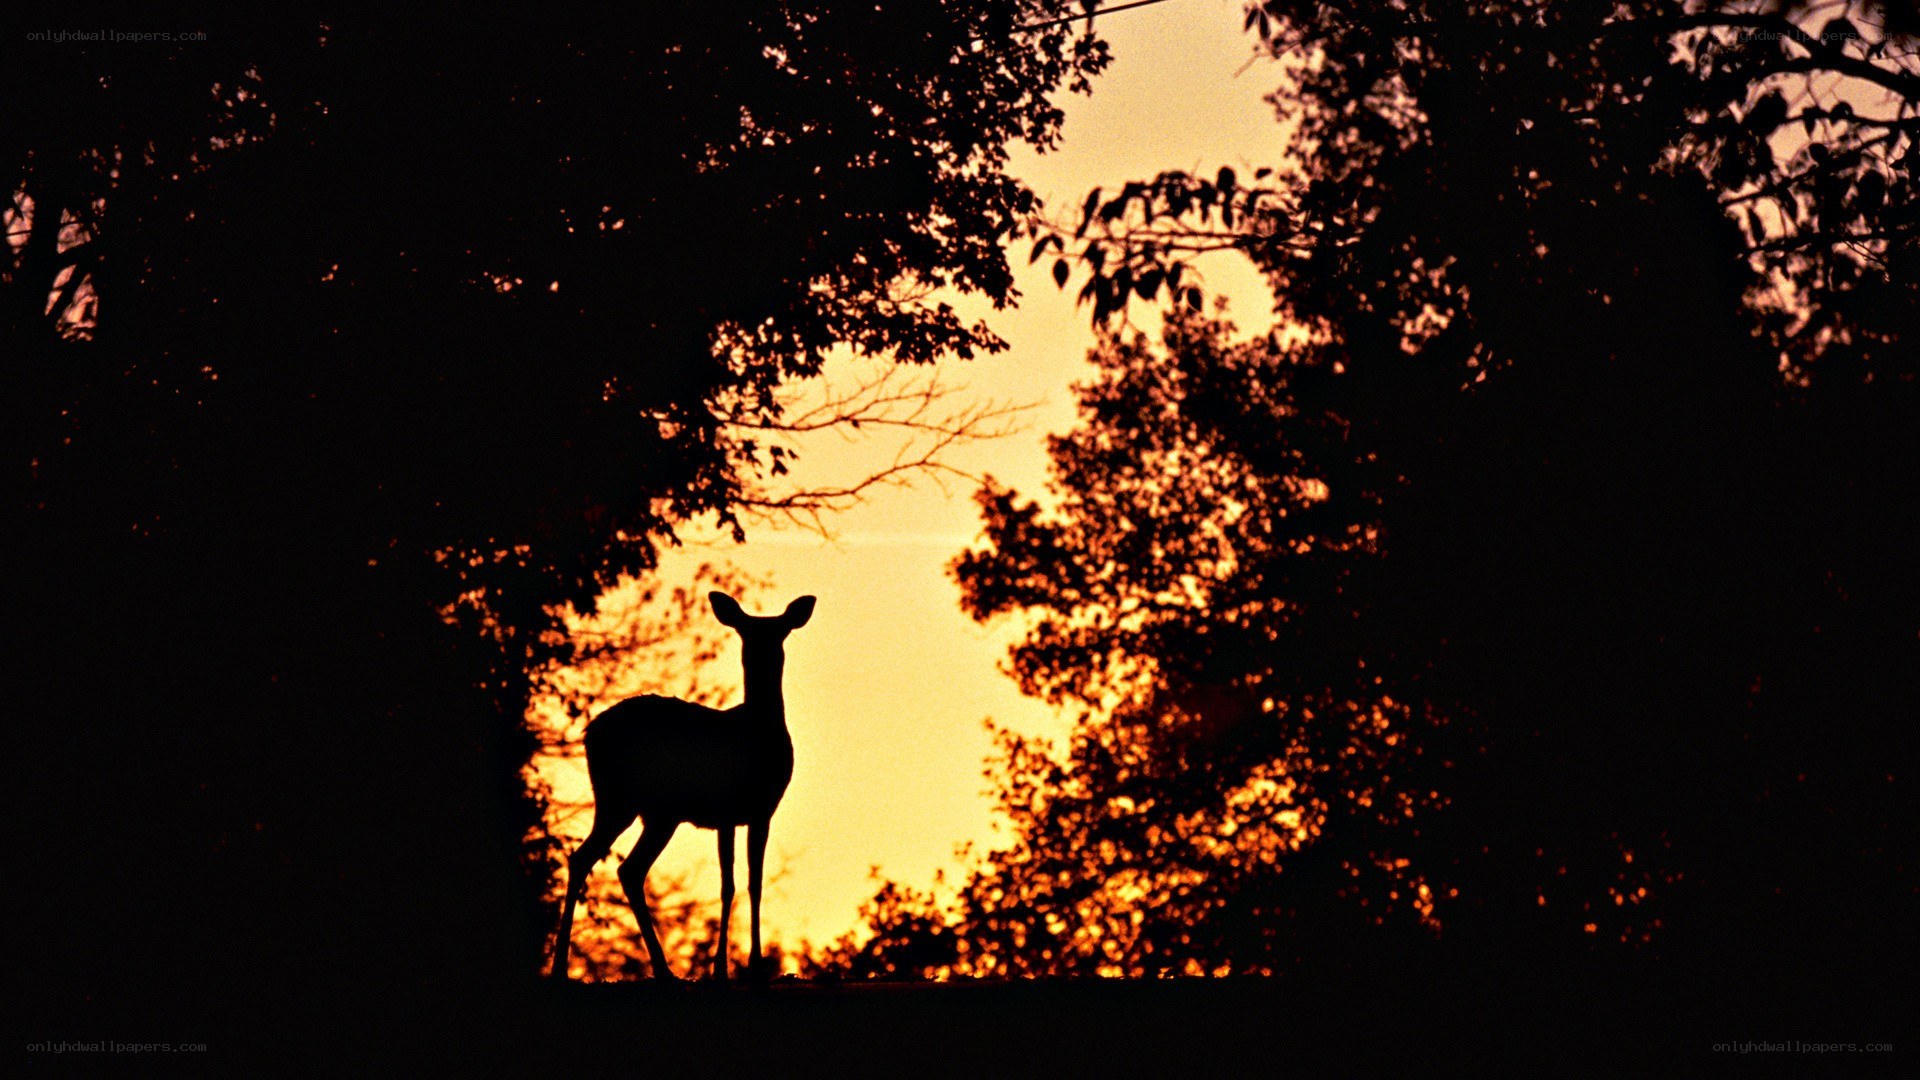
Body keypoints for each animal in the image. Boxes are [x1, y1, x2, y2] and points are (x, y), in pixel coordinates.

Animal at [550, 591, 815, 983]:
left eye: (778, 632)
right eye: (746, 632)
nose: (762, 653)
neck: (758, 728)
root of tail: (590, 732)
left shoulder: (743, 814)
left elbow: (742, 882)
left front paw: (731, 967)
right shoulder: (748, 810)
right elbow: (739, 883)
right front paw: (744, 967)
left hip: (639, 808)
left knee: (606, 864)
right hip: (630, 802)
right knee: (612, 864)